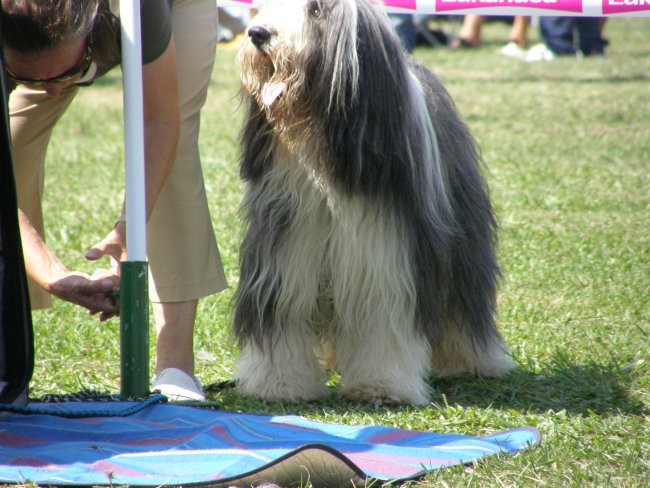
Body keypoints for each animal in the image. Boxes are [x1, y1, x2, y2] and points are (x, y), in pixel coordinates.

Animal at [232, 0, 512, 404]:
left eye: (317, 11)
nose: (257, 34)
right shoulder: (283, 251)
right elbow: (283, 315)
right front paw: (279, 384)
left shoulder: (387, 256)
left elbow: (383, 322)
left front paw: (382, 385)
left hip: (463, 242)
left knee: (464, 304)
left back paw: (472, 361)